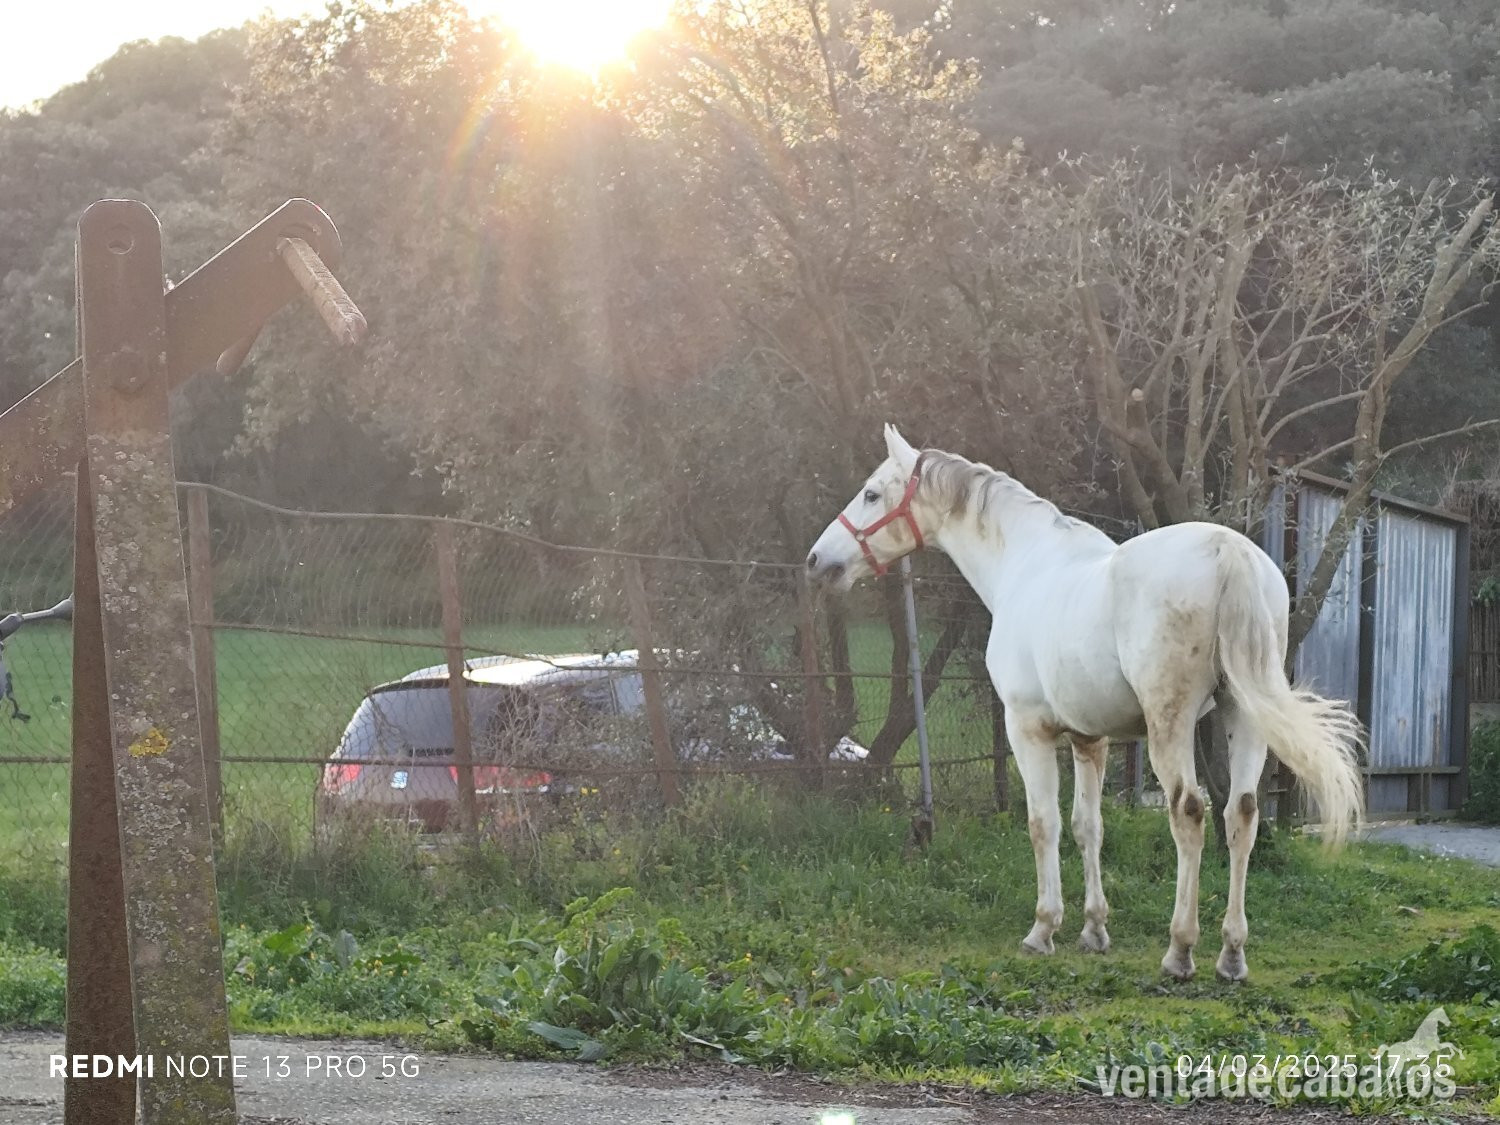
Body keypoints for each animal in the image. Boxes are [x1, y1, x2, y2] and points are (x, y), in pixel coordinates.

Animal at [804, 425, 1364, 981]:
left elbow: (1043, 824)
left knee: (1189, 812)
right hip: (1242, 715)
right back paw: (1231, 954)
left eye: (871, 493)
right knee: (1241, 814)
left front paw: (1043, 929)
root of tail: (1229, 551)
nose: (817, 562)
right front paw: (1094, 930)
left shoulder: (1028, 730)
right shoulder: (1089, 739)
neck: (1024, 566)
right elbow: (1087, 827)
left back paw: (1180, 950)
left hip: (1172, 723)